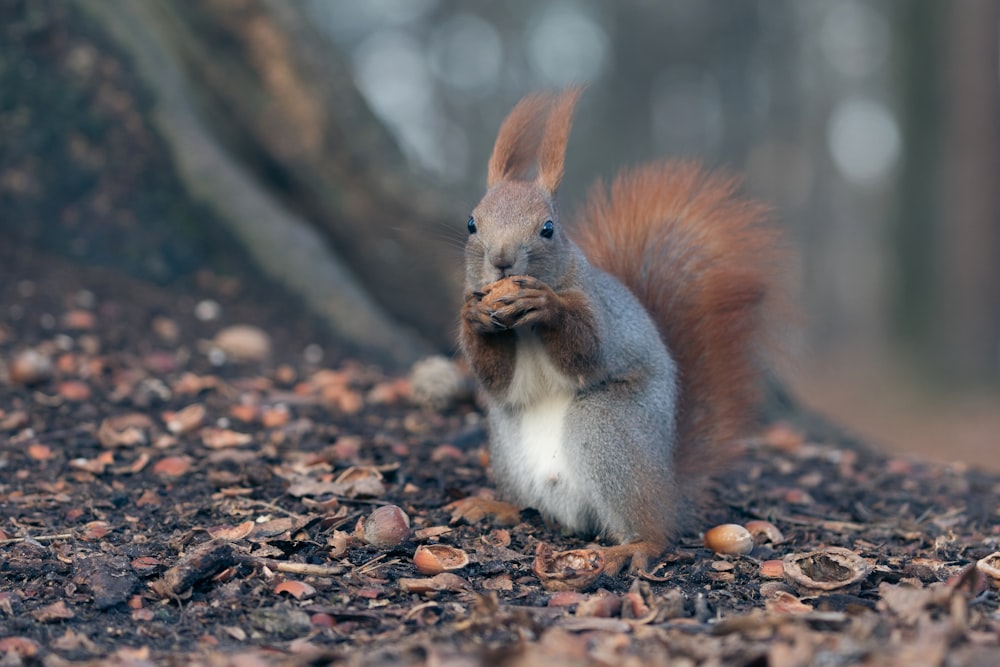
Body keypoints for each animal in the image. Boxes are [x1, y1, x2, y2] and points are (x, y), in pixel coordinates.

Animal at [458, 88, 776, 576]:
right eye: (472, 223)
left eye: (548, 228)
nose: (502, 260)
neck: (521, 328)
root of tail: (669, 488)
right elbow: (497, 379)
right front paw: (473, 316)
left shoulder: (599, 311)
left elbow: (588, 352)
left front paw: (546, 306)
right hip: (507, 442)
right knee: (535, 507)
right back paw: (496, 507)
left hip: (606, 426)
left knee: (654, 533)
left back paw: (632, 547)